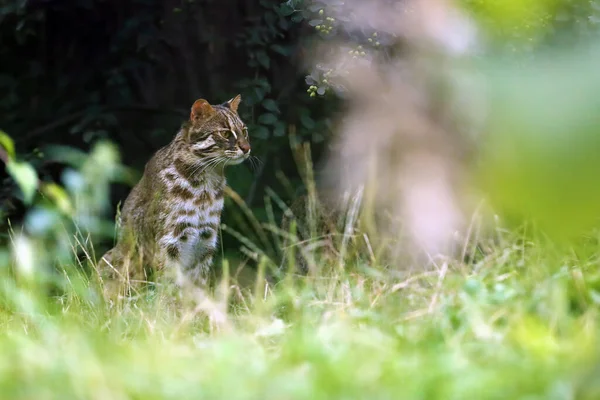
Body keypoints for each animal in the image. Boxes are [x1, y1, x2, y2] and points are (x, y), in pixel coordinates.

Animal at [99, 95, 250, 296]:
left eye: (244, 131)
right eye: (225, 134)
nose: (247, 148)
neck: (207, 181)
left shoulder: (206, 240)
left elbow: (198, 282)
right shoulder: (170, 240)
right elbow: (169, 283)